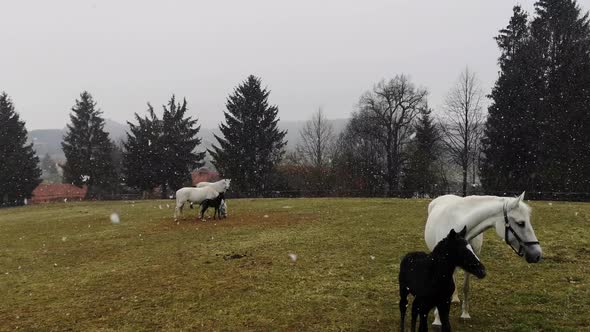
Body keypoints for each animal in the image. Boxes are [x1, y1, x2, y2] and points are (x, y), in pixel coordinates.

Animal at [426, 193, 544, 326]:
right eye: (521, 223)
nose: (537, 254)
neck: (457, 224)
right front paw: (437, 320)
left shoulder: (472, 260)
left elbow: (466, 287)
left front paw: (465, 314)